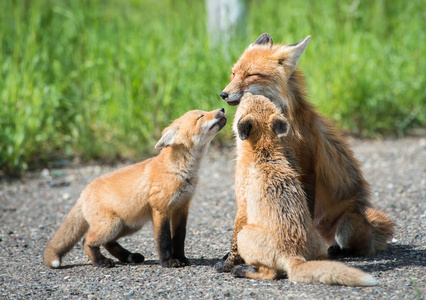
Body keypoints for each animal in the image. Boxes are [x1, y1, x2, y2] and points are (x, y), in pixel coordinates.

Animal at [44, 109, 226, 268]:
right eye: (201, 116)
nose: (222, 109)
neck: (180, 172)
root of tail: (84, 191)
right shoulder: (161, 209)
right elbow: (164, 240)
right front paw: (168, 261)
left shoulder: (182, 207)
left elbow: (179, 238)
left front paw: (181, 258)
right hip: (111, 226)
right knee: (86, 241)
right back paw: (101, 262)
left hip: (128, 226)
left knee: (108, 243)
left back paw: (128, 257)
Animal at [230, 94, 376, 286]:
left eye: (243, 105)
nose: (246, 94)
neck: (265, 153)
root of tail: (294, 254)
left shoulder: (242, 205)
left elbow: (234, 236)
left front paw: (226, 263)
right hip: (318, 238)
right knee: (323, 259)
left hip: (245, 235)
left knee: (271, 273)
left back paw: (242, 270)